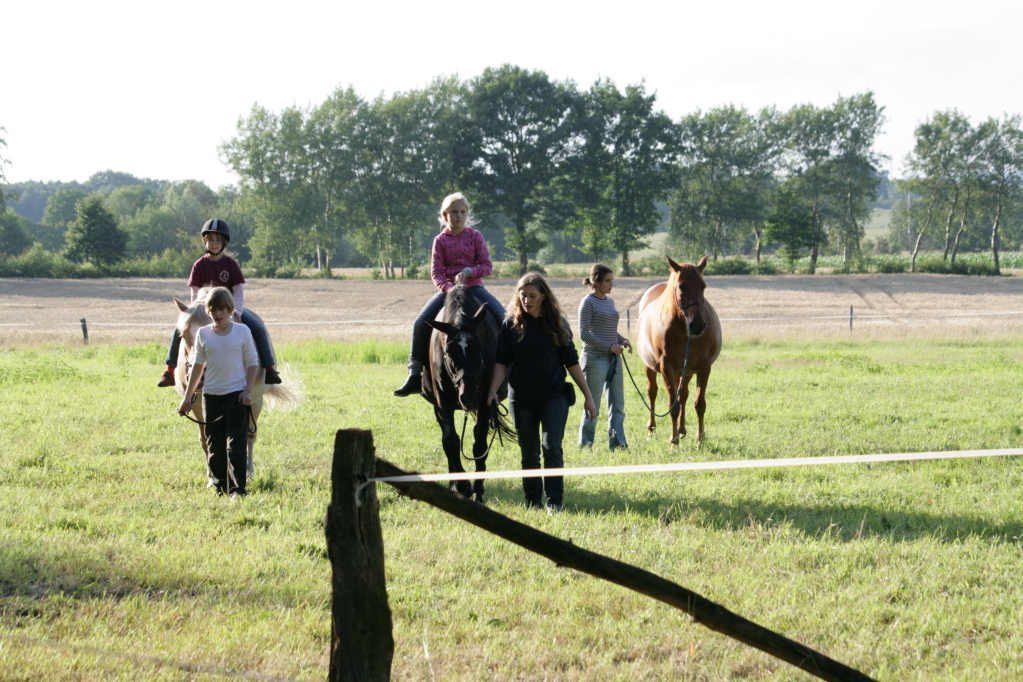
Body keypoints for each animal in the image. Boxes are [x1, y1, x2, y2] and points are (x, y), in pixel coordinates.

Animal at [170, 288, 298, 480]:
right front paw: (211, 476)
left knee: (250, 434)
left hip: (255, 402)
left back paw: (249, 471)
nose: (200, 378)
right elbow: (205, 439)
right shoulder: (199, 405)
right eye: (183, 335)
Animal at [419, 286, 511, 505]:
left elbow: (479, 444)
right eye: (448, 352)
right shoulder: (442, 402)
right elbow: (451, 441)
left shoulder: (485, 402)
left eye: (479, 348)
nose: (468, 397)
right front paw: (461, 485)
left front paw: (477, 491)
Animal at [634, 254, 724, 443]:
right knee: (652, 392)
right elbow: (673, 405)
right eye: (682, 286)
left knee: (683, 395)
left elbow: (699, 403)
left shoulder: (703, 367)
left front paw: (700, 438)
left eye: (703, 286)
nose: (697, 325)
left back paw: (682, 430)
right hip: (650, 367)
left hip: (685, 371)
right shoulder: (666, 367)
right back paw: (652, 429)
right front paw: (673, 441)